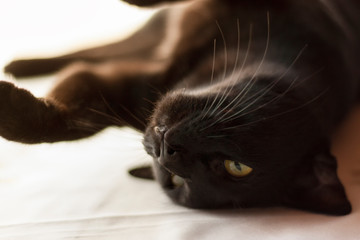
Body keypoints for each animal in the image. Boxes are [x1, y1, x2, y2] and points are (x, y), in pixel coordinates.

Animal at [2, 0, 360, 214]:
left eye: (235, 167)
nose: (166, 150)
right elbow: (66, 119)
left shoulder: (126, 90)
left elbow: (76, 116)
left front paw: (8, 110)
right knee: (96, 48)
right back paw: (22, 64)